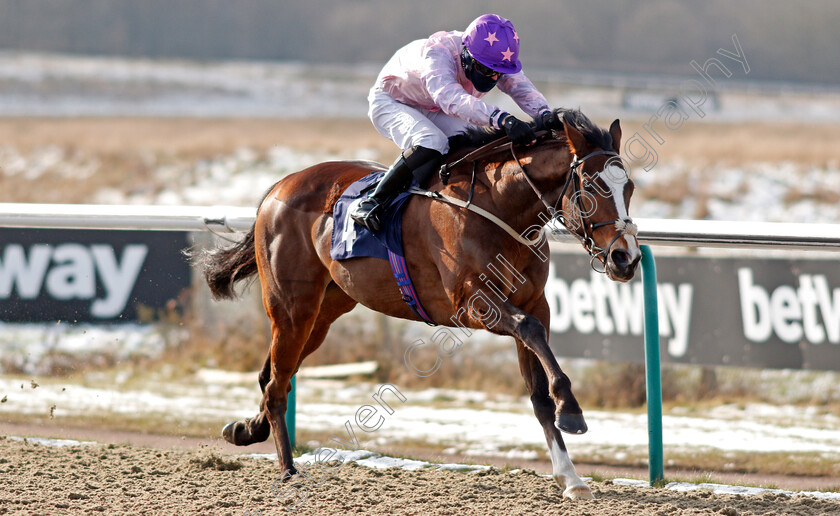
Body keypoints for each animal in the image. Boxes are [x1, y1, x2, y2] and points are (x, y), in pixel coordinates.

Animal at [199, 110, 644, 500]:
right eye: (592, 187)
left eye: (629, 188)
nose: (626, 258)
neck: (500, 209)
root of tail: (278, 187)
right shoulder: (475, 305)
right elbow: (531, 335)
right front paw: (572, 410)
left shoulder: (535, 302)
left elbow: (537, 391)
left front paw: (571, 478)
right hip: (293, 306)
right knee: (277, 382)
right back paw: (289, 470)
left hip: (326, 310)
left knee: (274, 373)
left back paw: (247, 429)